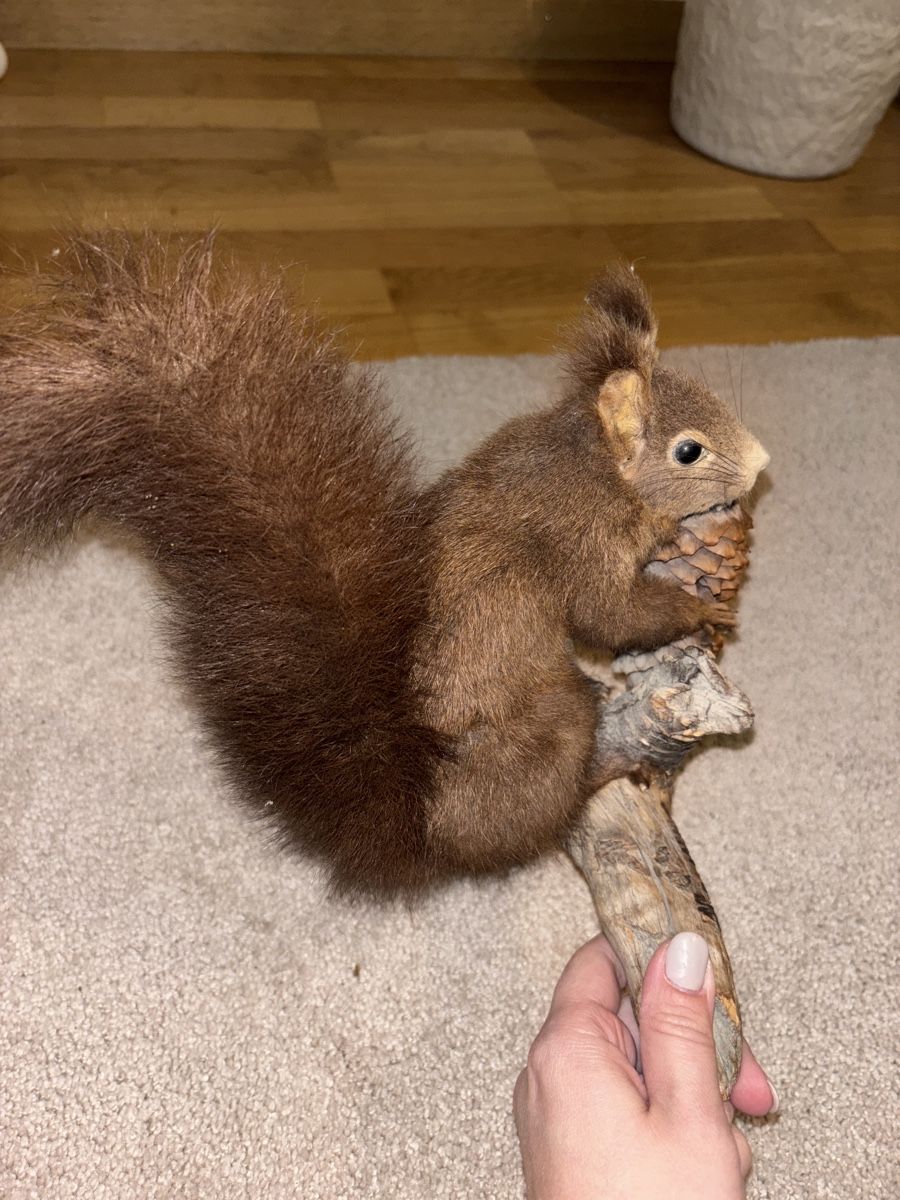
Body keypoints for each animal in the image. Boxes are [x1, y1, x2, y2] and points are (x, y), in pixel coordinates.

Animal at [0, 234, 769, 897]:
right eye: (689, 451)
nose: (762, 463)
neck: (597, 468)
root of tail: (417, 826)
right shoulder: (580, 541)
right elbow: (611, 614)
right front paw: (700, 607)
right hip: (547, 732)